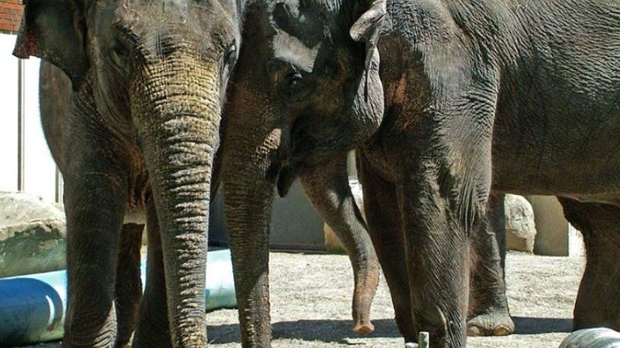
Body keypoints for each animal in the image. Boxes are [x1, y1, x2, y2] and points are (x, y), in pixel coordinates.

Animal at [220, 0, 620, 346]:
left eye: (293, 80)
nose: (362, 326)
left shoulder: (454, 65)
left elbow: (445, 197)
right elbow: (385, 210)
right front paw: (418, 333)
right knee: (597, 219)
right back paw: (594, 326)